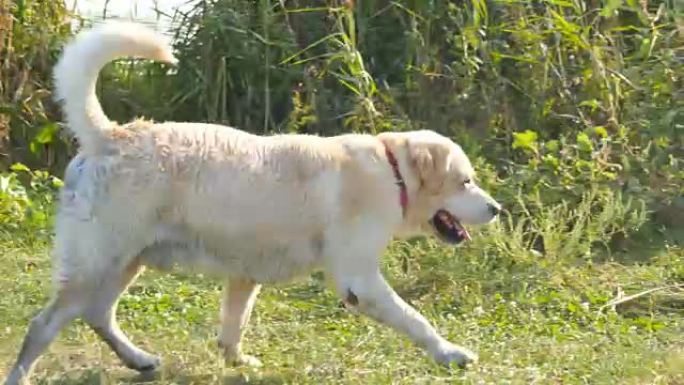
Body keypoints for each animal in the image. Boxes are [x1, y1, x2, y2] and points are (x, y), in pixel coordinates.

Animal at [2, 22, 500, 382]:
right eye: (465, 181)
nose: (497, 210)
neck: (391, 170)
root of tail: (109, 135)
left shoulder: (246, 273)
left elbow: (233, 322)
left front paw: (235, 361)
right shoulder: (360, 280)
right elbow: (415, 320)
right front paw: (450, 352)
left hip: (125, 261)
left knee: (97, 315)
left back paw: (139, 360)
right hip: (97, 263)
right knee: (44, 326)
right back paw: (23, 374)